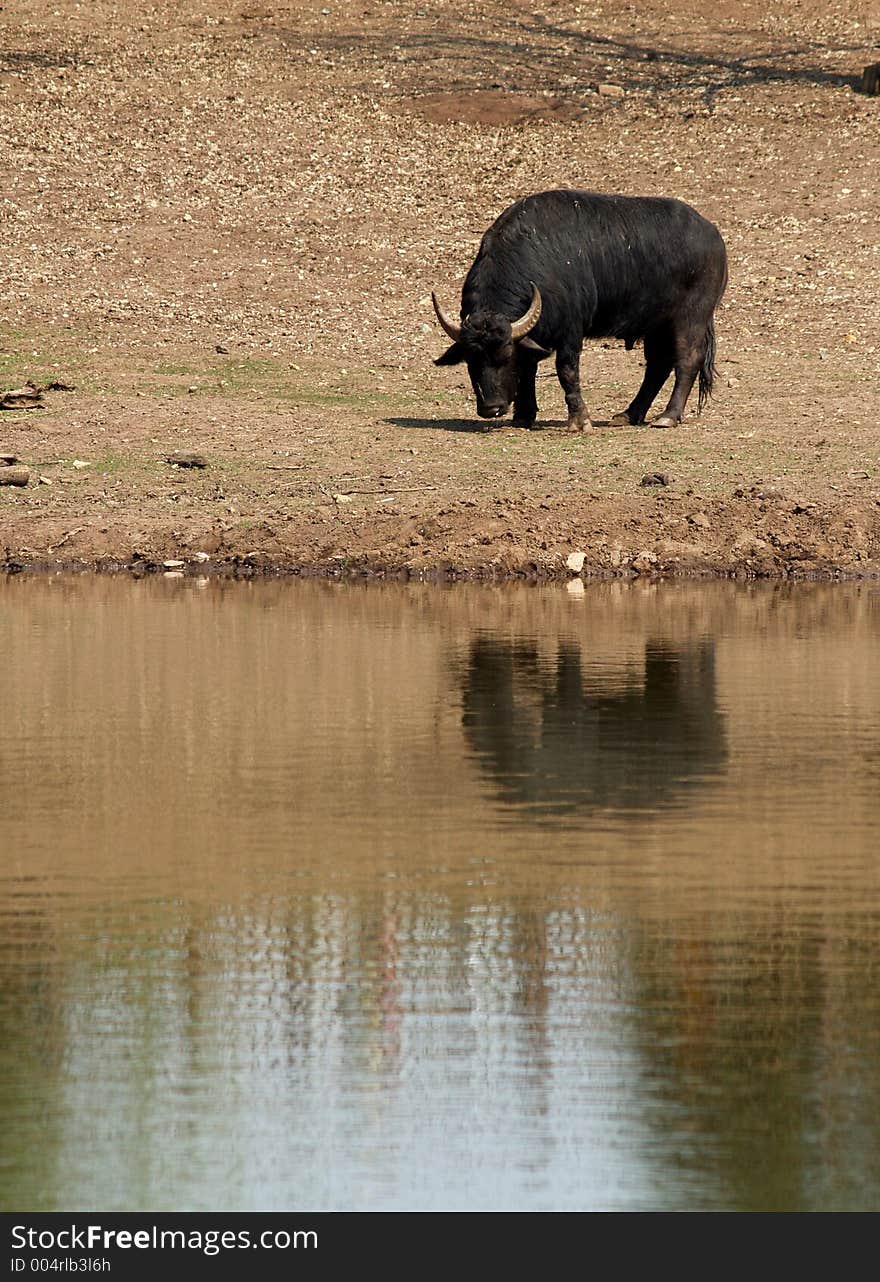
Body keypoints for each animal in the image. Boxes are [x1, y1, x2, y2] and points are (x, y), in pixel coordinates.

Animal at [433, 188, 728, 430]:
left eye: (505, 355)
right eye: (470, 358)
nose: (491, 408)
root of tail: (713, 236)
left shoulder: (570, 331)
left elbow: (566, 371)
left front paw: (579, 420)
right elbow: (529, 367)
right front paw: (524, 415)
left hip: (691, 317)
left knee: (688, 359)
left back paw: (668, 416)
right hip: (656, 324)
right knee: (658, 365)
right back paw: (629, 414)